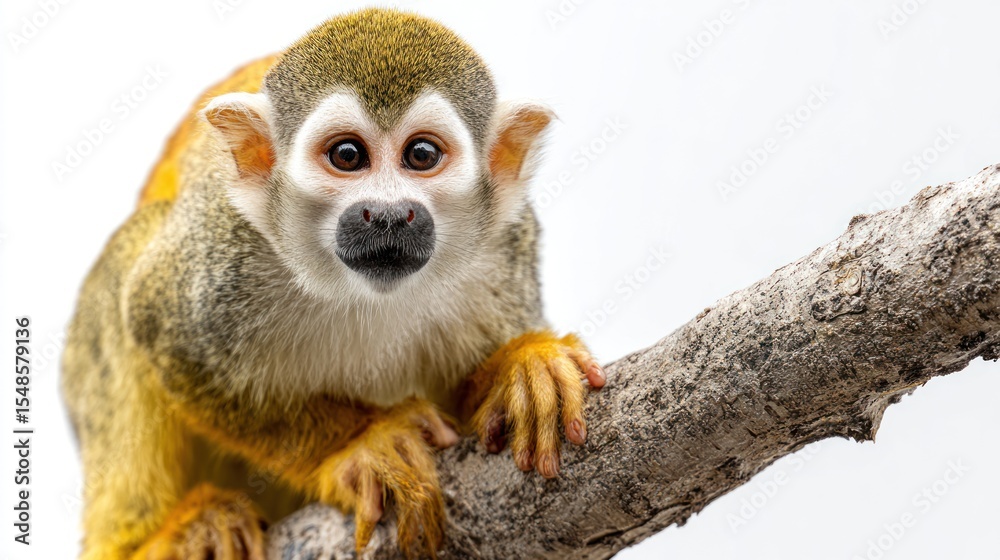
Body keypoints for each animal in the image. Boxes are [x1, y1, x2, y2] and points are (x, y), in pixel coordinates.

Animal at [61, 8, 607, 560]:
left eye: (422, 154)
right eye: (347, 155)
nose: (388, 215)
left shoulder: (502, 251)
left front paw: (518, 368)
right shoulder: (222, 256)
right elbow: (168, 341)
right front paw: (359, 443)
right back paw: (163, 536)